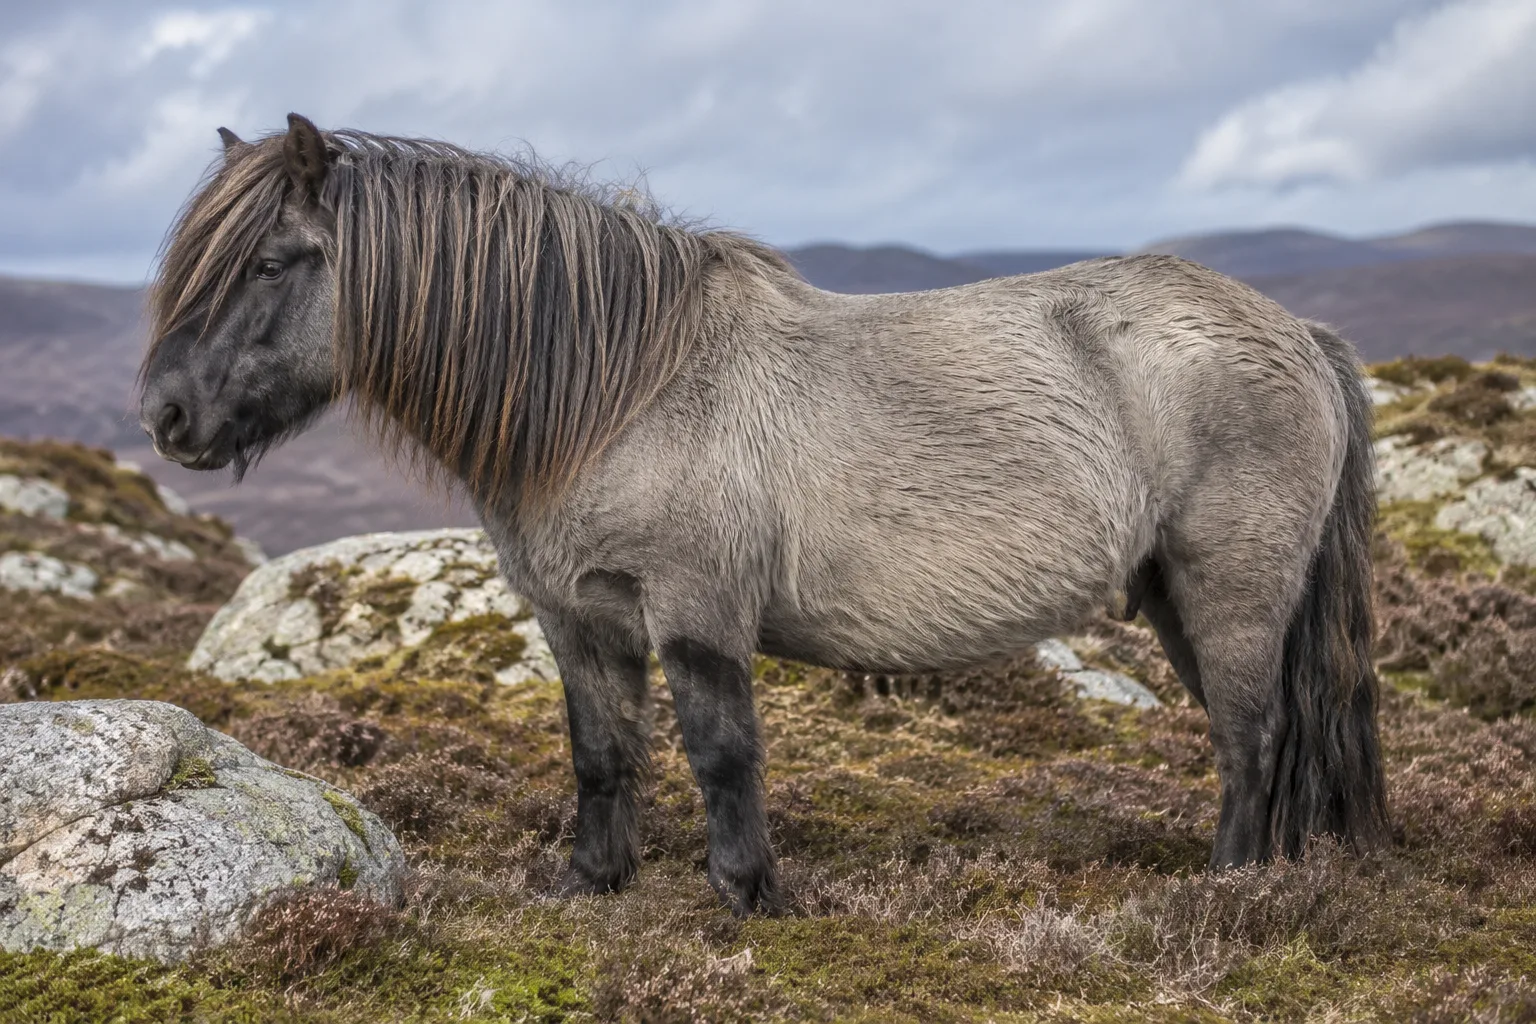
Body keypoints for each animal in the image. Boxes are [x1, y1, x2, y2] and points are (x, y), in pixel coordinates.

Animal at [139, 114, 1388, 915]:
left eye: (272, 260)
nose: (166, 414)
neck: (618, 392)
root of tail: (1298, 333)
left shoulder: (697, 608)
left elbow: (721, 749)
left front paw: (749, 894)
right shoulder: (579, 616)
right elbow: (603, 751)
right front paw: (589, 884)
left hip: (1228, 586)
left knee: (1252, 732)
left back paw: (1227, 891)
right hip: (1175, 592)